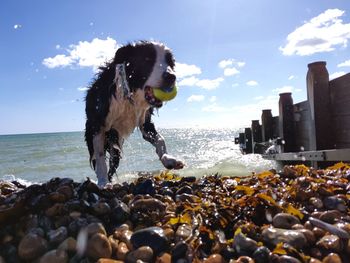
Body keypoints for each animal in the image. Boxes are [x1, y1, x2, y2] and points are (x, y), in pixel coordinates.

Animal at [85, 40, 185, 187]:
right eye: (147, 59)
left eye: (170, 62)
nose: (171, 77)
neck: (131, 95)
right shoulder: (98, 125)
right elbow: (100, 156)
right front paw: (103, 182)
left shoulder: (145, 121)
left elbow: (160, 139)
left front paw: (169, 159)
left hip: (115, 142)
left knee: (114, 162)